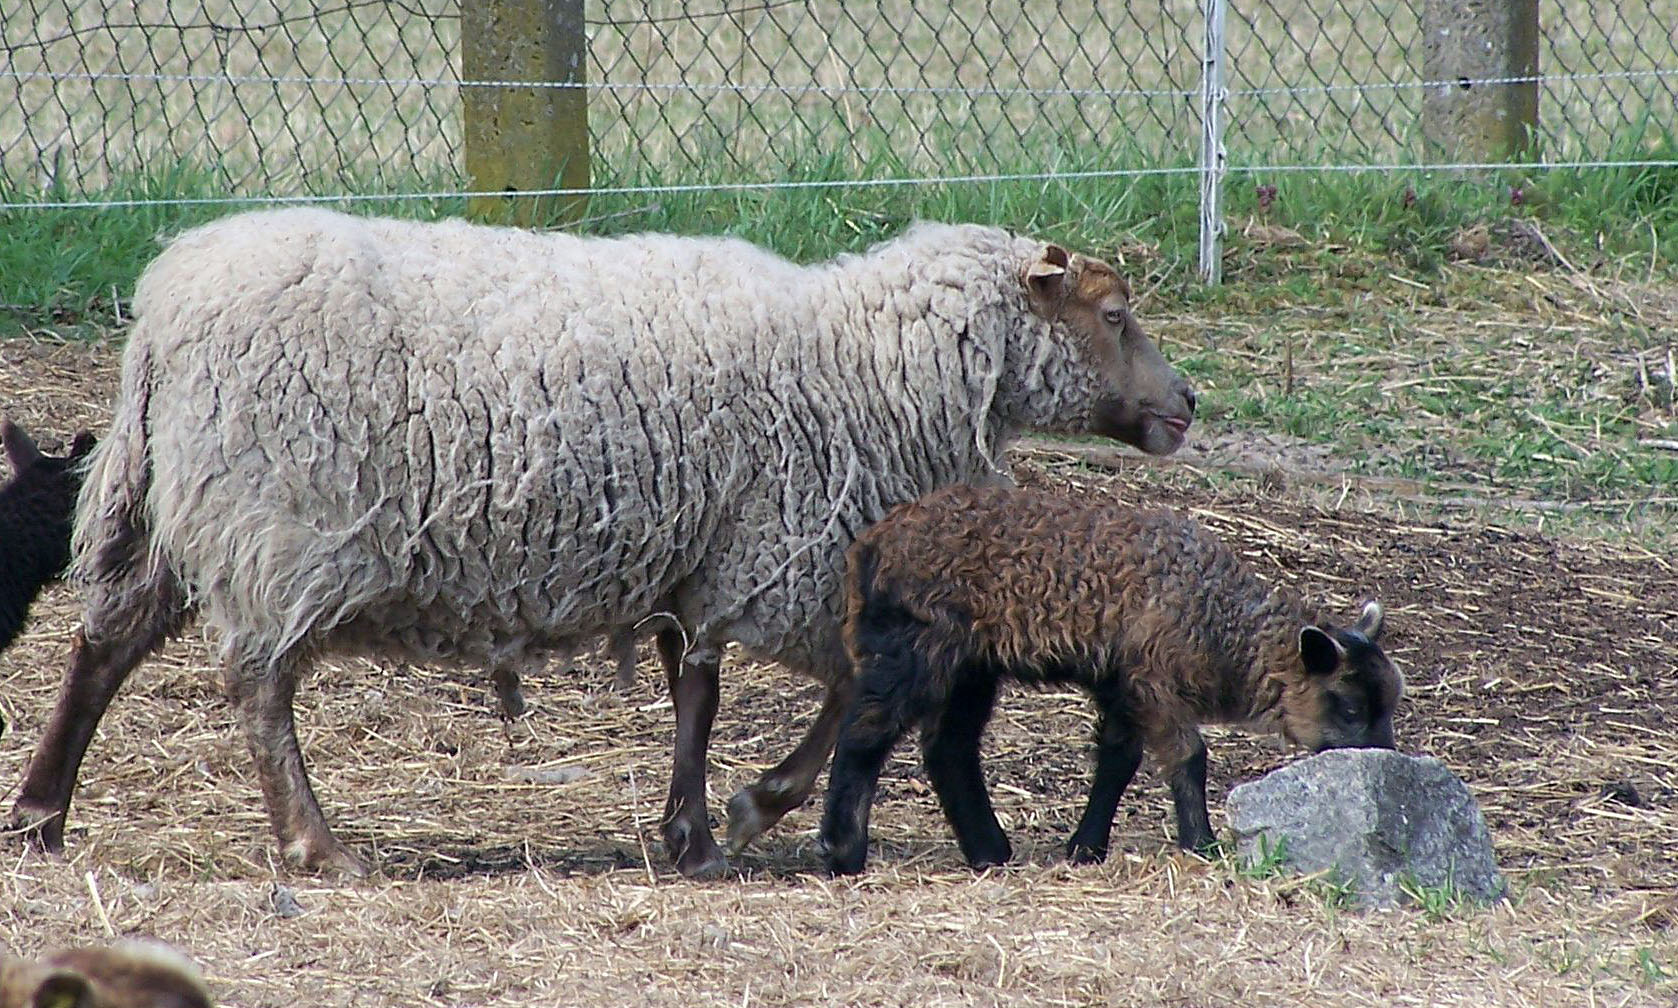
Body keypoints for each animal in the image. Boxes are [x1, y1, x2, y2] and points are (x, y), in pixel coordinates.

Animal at [9, 207, 1194, 878]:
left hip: (187, 510)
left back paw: (41, 813)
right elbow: (816, 693)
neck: (864, 360)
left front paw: (692, 833)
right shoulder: (771, 551)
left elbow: (694, 696)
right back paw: (317, 845)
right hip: (279, 521)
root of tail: (162, 310)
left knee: (104, 644)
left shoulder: (697, 551)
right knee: (256, 684)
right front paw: (746, 813)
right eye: (1114, 316)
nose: (1185, 405)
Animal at [818, 486, 1396, 872]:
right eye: (1349, 706)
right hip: (912, 646)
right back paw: (843, 851)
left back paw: (989, 851)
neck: (1219, 620)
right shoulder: (1154, 678)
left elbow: (1118, 760)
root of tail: (867, 547)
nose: (1386, 758)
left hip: (971, 665)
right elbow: (1188, 755)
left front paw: (1087, 847)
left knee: (949, 747)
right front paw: (1202, 843)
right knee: (865, 735)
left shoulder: (1123, 684)